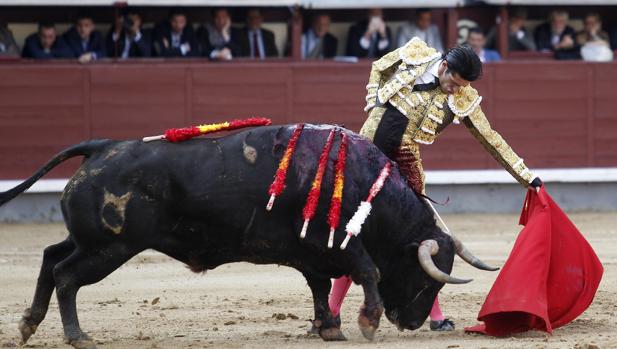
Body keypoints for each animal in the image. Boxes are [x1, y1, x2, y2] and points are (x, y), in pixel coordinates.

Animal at [0, 123, 482, 346]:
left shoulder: (310, 252)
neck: (366, 186)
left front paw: (327, 327)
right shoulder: (334, 243)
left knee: (50, 257)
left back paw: (28, 324)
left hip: (92, 241)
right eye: (426, 279)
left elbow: (320, 285)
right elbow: (366, 270)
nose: (413, 322)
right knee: (66, 275)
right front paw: (366, 323)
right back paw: (77, 335)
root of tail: (101, 147)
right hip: (110, 246)